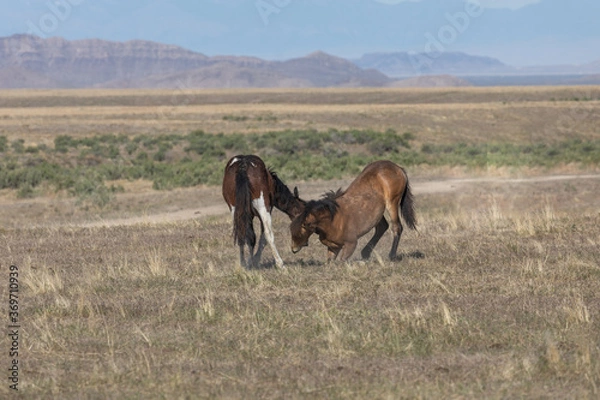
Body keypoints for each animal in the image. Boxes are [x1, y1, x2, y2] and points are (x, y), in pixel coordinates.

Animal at [290, 159, 418, 262]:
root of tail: (398, 168)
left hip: (392, 203)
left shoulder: (350, 245)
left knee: (396, 227)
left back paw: (391, 255)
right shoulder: (333, 248)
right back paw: (365, 253)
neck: (332, 219)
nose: (293, 248)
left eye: (303, 226)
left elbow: (342, 261)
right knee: (382, 226)